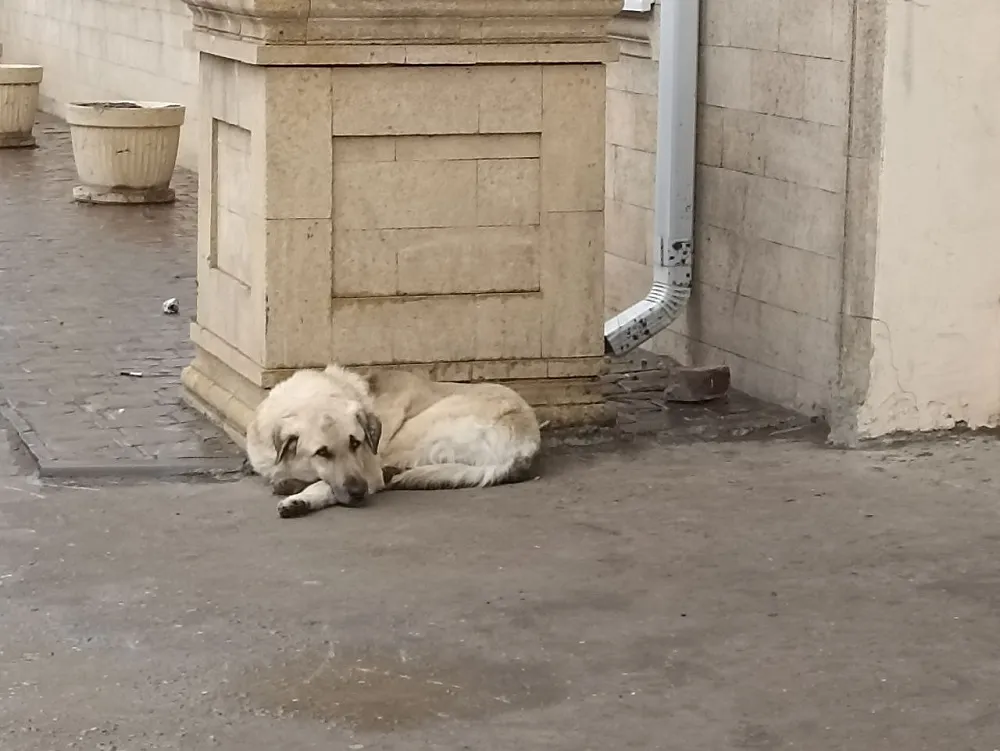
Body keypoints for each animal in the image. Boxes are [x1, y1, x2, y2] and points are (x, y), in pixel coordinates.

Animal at [244, 364, 540, 516]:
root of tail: (529, 439)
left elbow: (325, 485)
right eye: (322, 452)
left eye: (355, 443)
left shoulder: (368, 468)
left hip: (415, 428)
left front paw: (300, 499)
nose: (358, 492)